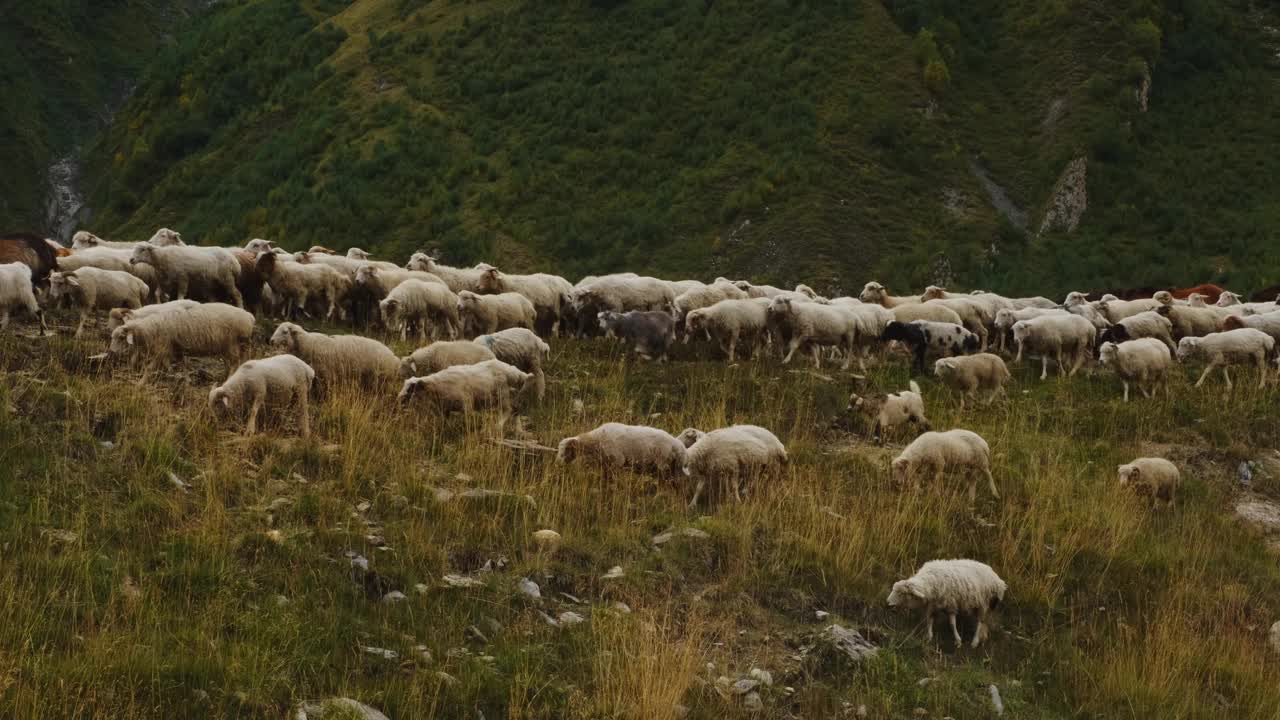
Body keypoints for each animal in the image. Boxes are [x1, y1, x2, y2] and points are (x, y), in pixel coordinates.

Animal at [108, 301, 253, 381]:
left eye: (121, 338)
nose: (111, 353)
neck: (150, 326)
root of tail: (249, 317)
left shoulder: (162, 348)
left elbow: (149, 368)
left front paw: (139, 384)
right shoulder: (176, 349)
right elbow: (182, 365)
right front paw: (184, 379)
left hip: (231, 343)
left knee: (234, 362)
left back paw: (229, 378)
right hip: (238, 344)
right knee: (241, 360)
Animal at [272, 320, 401, 386]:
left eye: (284, 332)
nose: (271, 340)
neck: (308, 343)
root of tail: (395, 358)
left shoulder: (326, 375)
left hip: (380, 379)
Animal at [391, 358, 532, 430]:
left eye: (411, 389)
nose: (398, 399)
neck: (437, 386)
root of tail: (517, 373)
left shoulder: (467, 404)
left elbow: (468, 422)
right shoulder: (446, 408)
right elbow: (444, 423)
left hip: (504, 394)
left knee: (508, 411)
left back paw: (498, 426)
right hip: (510, 396)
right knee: (516, 410)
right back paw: (519, 431)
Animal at [555, 420, 686, 476]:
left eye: (565, 451)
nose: (558, 464)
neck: (597, 440)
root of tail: (676, 443)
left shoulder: (618, 459)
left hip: (663, 461)